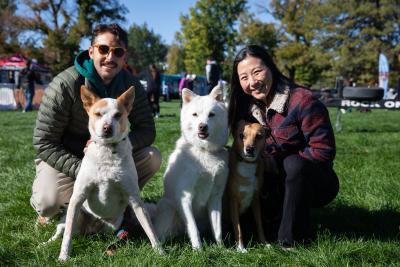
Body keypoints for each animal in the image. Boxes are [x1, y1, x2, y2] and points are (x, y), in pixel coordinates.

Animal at [55, 86, 163, 262]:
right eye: (98, 114)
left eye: (118, 115)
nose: (107, 127)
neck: (107, 151)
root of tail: (91, 230)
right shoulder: (77, 198)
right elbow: (67, 236)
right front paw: (64, 256)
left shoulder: (135, 200)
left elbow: (150, 229)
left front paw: (160, 252)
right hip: (73, 215)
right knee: (61, 230)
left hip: (112, 225)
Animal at [152, 87, 230, 250]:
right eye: (195, 114)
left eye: (211, 114)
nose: (202, 126)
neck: (204, 151)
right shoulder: (185, 197)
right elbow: (193, 228)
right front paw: (198, 250)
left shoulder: (216, 197)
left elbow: (217, 229)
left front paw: (222, 248)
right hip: (168, 208)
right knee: (163, 236)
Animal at [227, 121, 268, 253]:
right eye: (241, 135)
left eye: (259, 136)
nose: (249, 149)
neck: (247, 164)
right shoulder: (233, 201)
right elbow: (238, 228)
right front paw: (241, 248)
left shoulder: (255, 199)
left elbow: (260, 224)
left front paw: (265, 243)